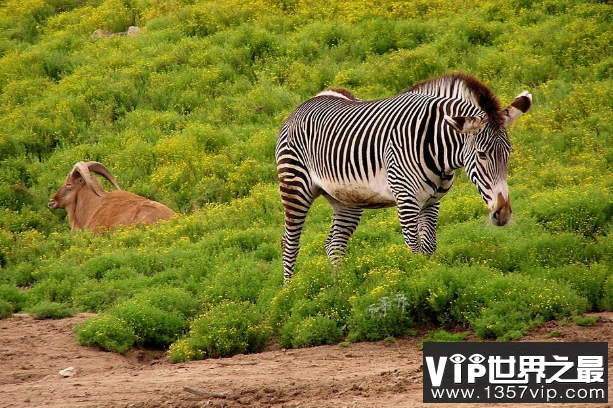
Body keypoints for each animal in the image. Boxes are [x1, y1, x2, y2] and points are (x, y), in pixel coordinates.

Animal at [276, 71, 532, 278]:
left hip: (346, 197)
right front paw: (414, 284)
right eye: (481, 154)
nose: (503, 213)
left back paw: (339, 290)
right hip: (295, 185)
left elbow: (428, 247)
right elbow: (414, 248)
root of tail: (310, 100)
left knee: (334, 244)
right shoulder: (407, 199)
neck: (436, 148)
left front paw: (427, 279)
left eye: (508, 153)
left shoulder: (432, 201)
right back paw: (289, 293)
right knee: (290, 243)